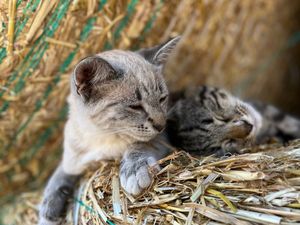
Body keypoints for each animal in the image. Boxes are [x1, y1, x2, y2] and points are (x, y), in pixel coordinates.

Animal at [39, 37, 180, 225]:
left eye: (162, 99)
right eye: (135, 106)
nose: (160, 125)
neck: (102, 136)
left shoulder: (161, 137)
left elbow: (140, 146)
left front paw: (134, 170)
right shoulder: (73, 160)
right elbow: (59, 176)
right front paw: (48, 208)